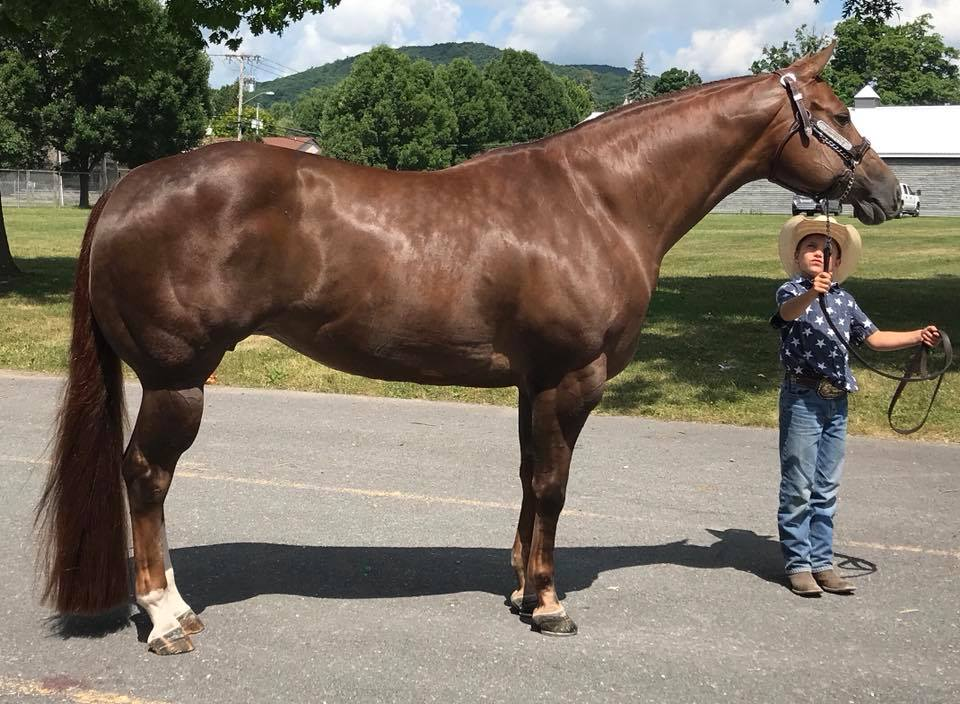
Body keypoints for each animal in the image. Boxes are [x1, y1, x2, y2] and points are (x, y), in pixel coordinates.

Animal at [36, 44, 900, 654]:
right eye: (838, 115)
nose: (891, 192)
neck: (598, 201)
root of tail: (126, 187)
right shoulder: (570, 380)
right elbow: (553, 487)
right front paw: (548, 604)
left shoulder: (532, 385)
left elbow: (528, 483)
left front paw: (521, 590)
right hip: (178, 382)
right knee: (146, 478)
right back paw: (167, 616)